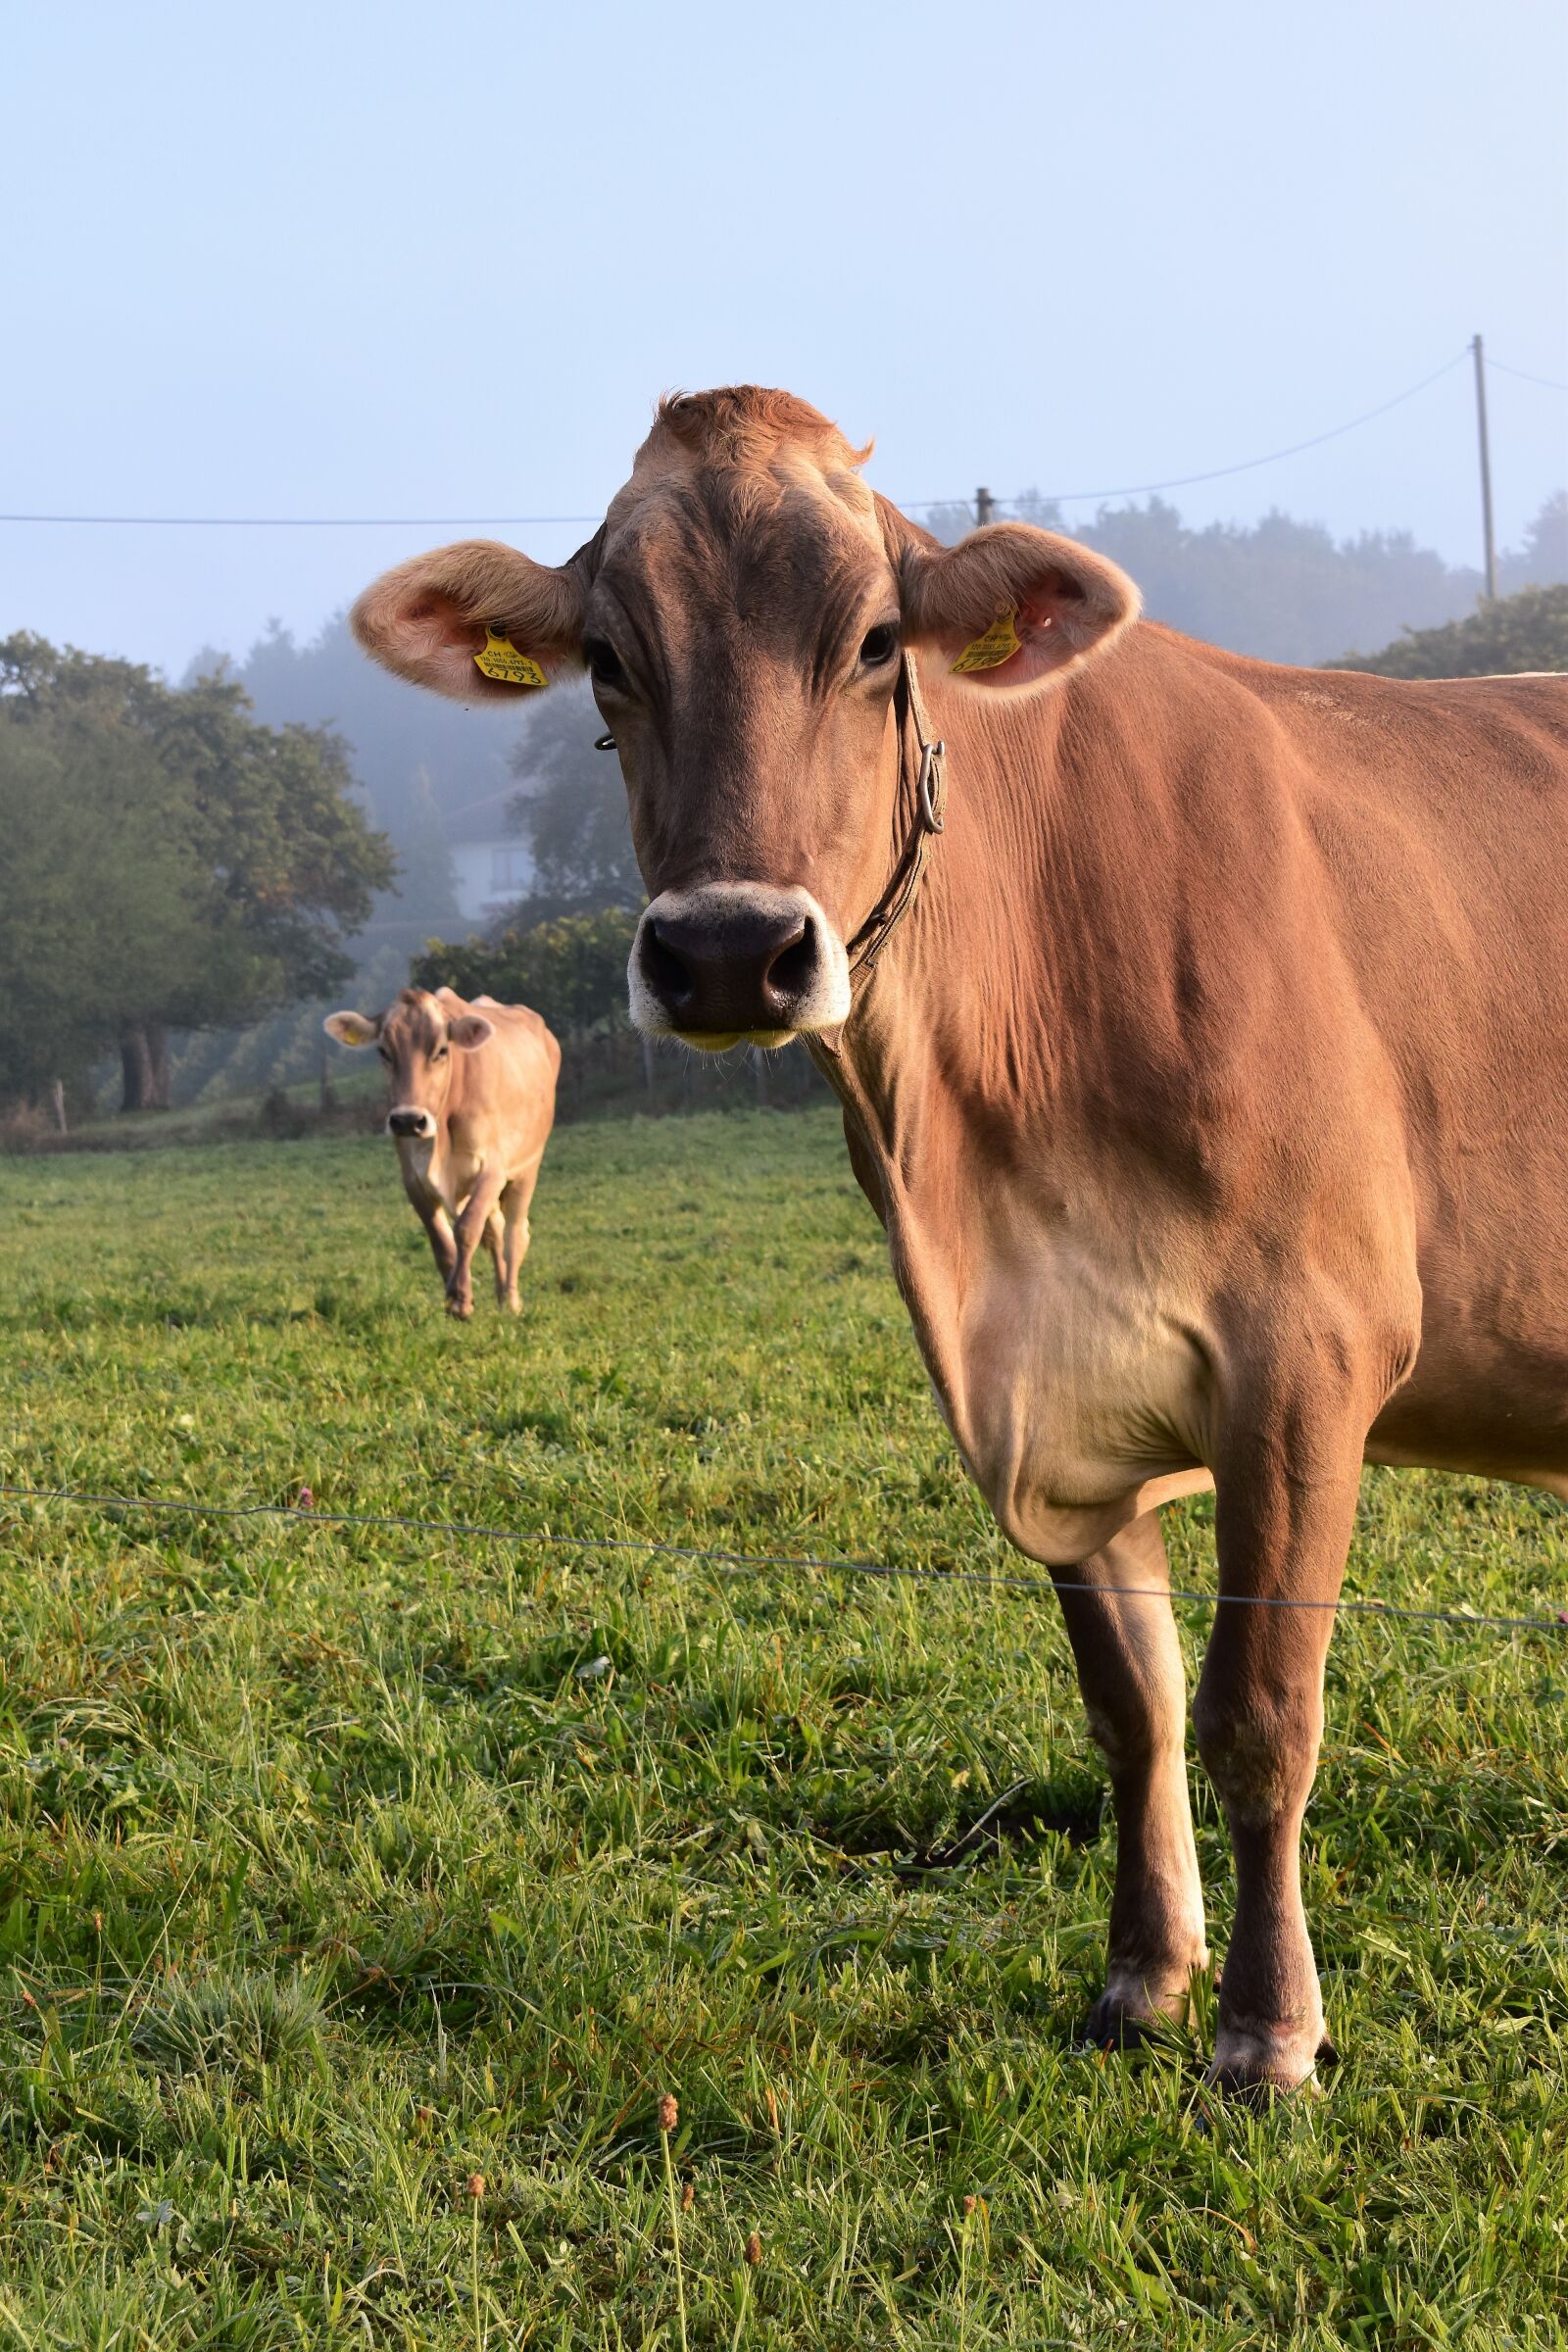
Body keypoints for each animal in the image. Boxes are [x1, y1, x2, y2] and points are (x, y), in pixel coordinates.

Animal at [325, 986, 559, 1319]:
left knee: (515, 1234)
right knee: (496, 1231)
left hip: (527, 1166)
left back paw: (511, 1299)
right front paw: (453, 1297)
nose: (408, 1120)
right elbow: (441, 1239)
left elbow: (467, 1229)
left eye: (441, 1051)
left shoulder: (492, 1169)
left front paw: (461, 1299)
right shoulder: (412, 1177)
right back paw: (500, 1293)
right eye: (384, 1051)